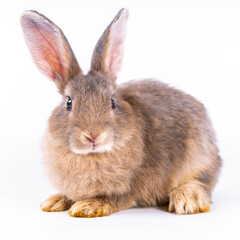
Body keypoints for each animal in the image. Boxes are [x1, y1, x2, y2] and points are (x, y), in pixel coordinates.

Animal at [20, 8, 221, 218]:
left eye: (112, 101)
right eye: (69, 103)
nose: (93, 136)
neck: (92, 155)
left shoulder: (131, 187)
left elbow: (115, 198)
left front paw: (86, 207)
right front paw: (54, 201)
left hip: (198, 157)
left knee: (202, 181)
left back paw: (187, 200)